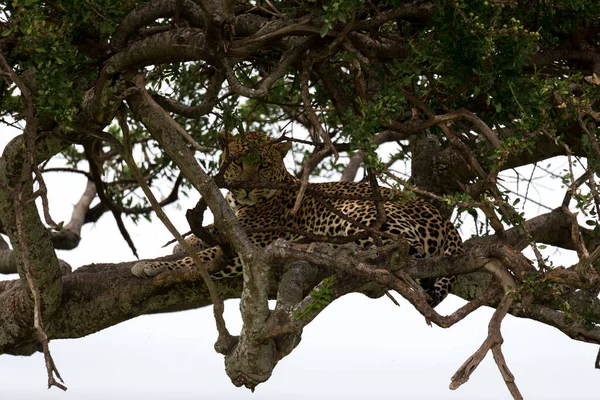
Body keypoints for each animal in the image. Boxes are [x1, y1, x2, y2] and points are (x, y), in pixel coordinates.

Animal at [131, 131, 462, 306]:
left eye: (262, 165)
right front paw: (183, 242)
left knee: (397, 246)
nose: (247, 186)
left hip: (355, 211)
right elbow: (208, 235)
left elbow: (201, 259)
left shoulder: (252, 247)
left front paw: (152, 265)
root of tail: (448, 224)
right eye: (238, 162)